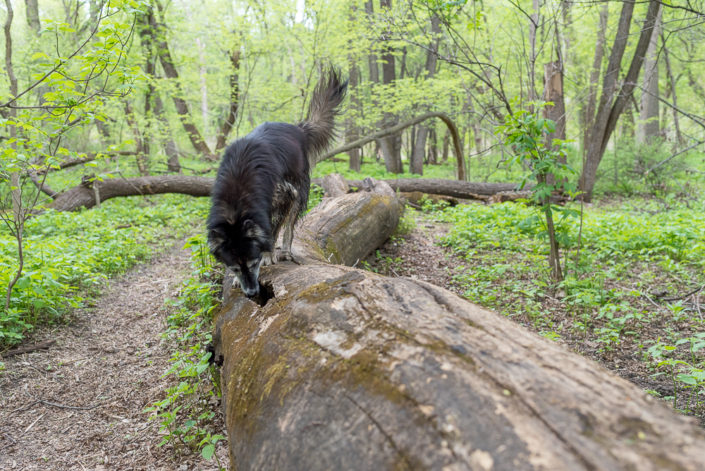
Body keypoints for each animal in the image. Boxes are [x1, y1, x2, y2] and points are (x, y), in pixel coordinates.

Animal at [206, 68, 346, 296]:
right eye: (235, 267)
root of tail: (299, 129)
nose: (252, 293)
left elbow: (274, 231)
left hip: (299, 193)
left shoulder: (284, 196)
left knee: (288, 227)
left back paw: (285, 251)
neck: (239, 188)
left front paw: (267, 255)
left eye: (253, 263)